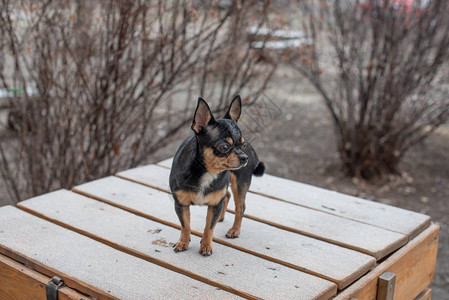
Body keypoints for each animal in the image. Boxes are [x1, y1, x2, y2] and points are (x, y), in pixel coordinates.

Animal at [170, 95, 264, 255]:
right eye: (224, 147)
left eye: (243, 145)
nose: (244, 157)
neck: (207, 172)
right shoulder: (181, 204)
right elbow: (186, 225)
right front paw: (183, 242)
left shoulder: (214, 204)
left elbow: (209, 228)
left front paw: (206, 246)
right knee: (227, 196)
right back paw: (221, 217)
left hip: (239, 183)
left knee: (240, 207)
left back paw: (235, 230)